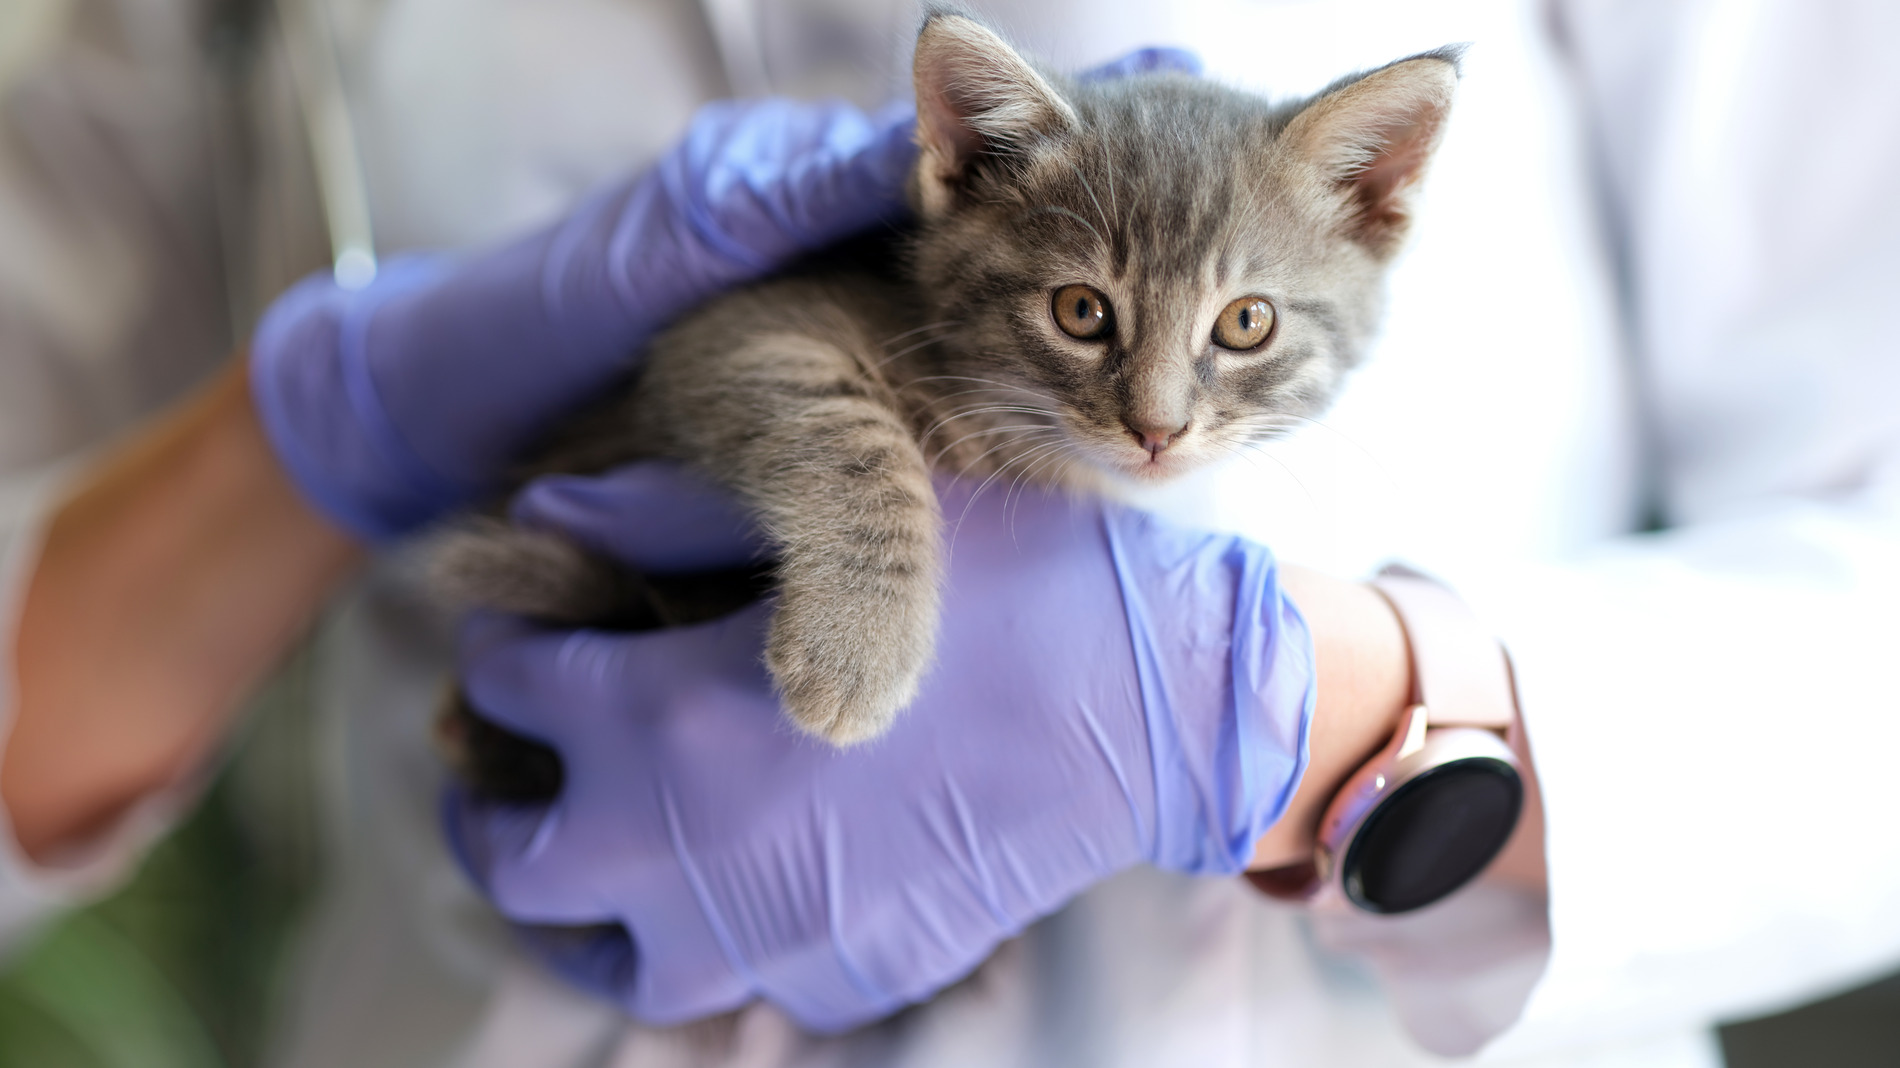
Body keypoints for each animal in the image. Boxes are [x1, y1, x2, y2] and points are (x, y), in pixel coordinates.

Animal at [437, 12, 1459, 763]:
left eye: (1247, 322)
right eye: (1081, 311)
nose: (1157, 430)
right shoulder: (735, 329)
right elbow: (850, 439)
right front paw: (855, 649)